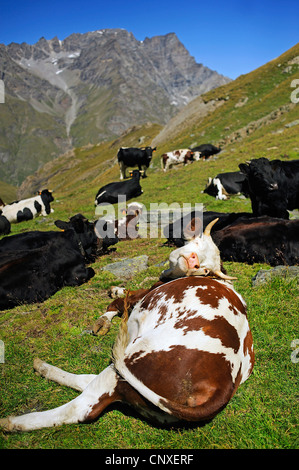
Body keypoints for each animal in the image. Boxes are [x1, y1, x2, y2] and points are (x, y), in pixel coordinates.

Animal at [0, 218, 255, 432]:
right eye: (198, 242)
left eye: (205, 268)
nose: (193, 260)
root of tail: (222, 387)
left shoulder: (145, 293)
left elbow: (123, 299)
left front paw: (109, 307)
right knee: (88, 381)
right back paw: (44, 369)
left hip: (132, 360)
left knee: (83, 407)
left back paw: (15, 421)